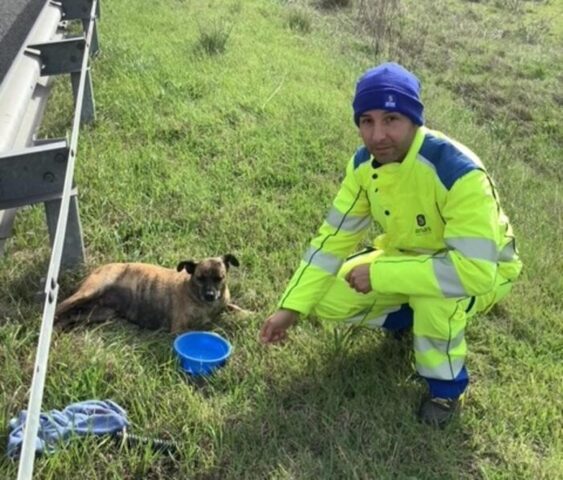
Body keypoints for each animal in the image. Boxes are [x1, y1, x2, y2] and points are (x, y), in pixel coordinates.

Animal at [54, 253, 245, 332]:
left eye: (219, 278)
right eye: (200, 278)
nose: (210, 295)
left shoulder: (224, 304)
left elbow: (235, 308)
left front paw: (248, 314)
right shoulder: (180, 328)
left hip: (99, 313)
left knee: (70, 316)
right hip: (89, 292)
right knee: (59, 308)